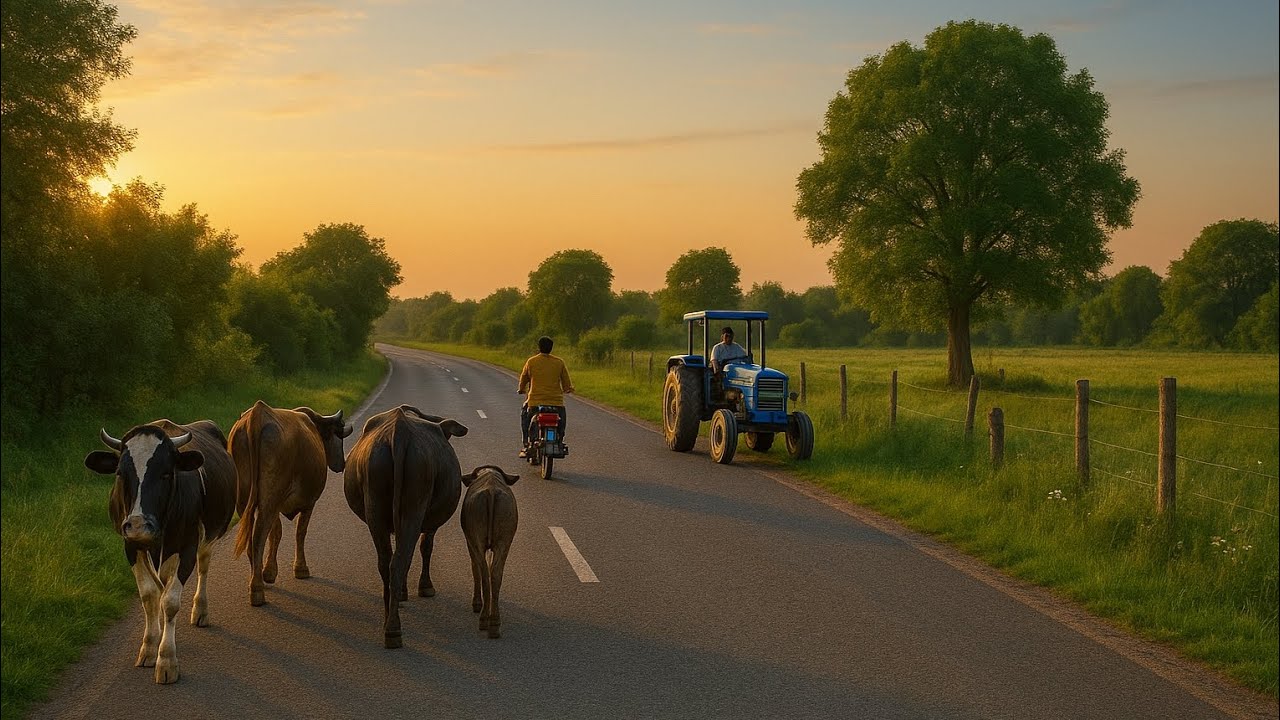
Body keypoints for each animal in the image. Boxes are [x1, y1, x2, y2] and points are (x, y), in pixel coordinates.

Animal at [84, 420, 237, 684]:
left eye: (166, 473)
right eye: (120, 474)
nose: (138, 524)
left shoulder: (187, 546)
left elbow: (171, 602)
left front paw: (166, 660)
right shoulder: (131, 545)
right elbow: (149, 596)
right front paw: (149, 648)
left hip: (209, 535)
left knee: (203, 566)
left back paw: (200, 610)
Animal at [227, 401, 353, 607]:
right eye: (338, 434)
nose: (342, 463)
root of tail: (258, 413)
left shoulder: (277, 504)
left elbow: (276, 533)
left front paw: (269, 572)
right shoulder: (309, 502)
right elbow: (299, 532)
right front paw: (300, 568)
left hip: (245, 499)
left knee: (253, 536)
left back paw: (256, 577)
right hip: (269, 498)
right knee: (259, 535)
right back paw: (257, 589)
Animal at [344, 404, 468, 648]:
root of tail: (399, 431)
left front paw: (400, 593)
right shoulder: (429, 523)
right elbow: (426, 547)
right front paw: (424, 586)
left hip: (375, 508)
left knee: (386, 562)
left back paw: (388, 620)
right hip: (414, 507)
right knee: (401, 559)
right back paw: (394, 628)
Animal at [460, 465, 519, 639]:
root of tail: (491, 491)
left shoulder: (470, 541)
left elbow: (475, 569)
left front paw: (476, 603)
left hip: (477, 540)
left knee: (484, 572)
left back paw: (484, 618)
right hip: (505, 541)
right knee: (495, 574)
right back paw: (494, 622)